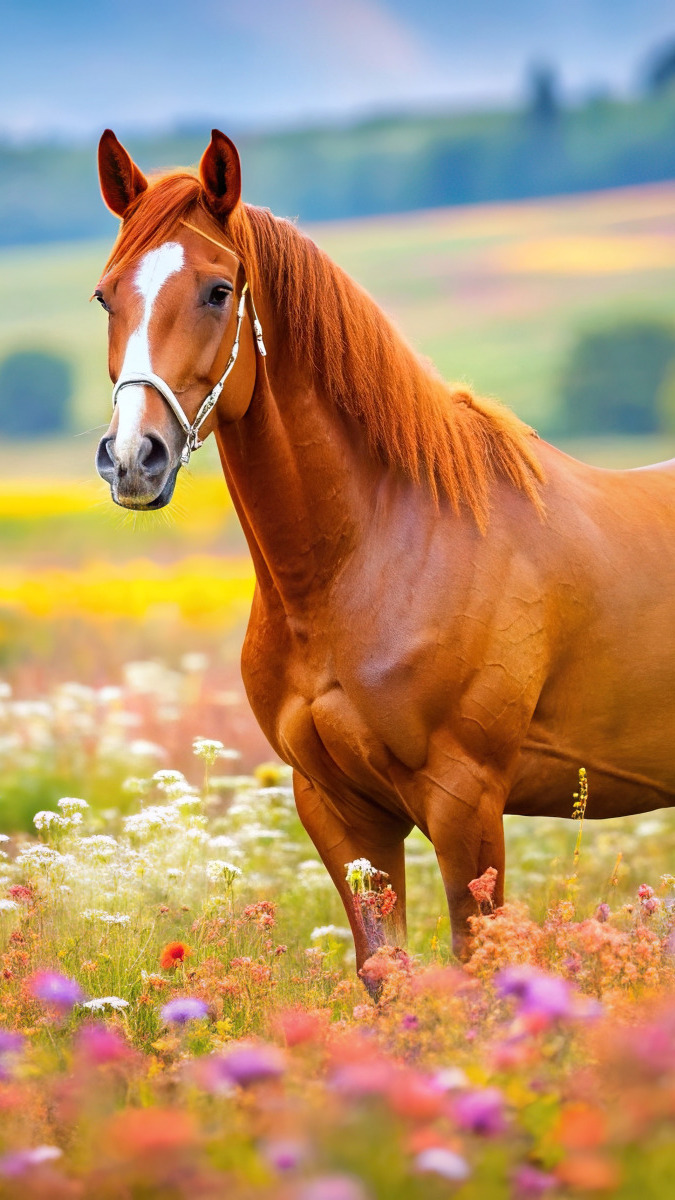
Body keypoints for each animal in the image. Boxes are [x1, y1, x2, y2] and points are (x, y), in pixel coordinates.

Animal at [93, 126, 672, 969]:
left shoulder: (465, 801)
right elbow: (385, 971)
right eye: (106, 295)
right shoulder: (338, 809)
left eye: (217, 291)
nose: (133, 459)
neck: (369, 557)